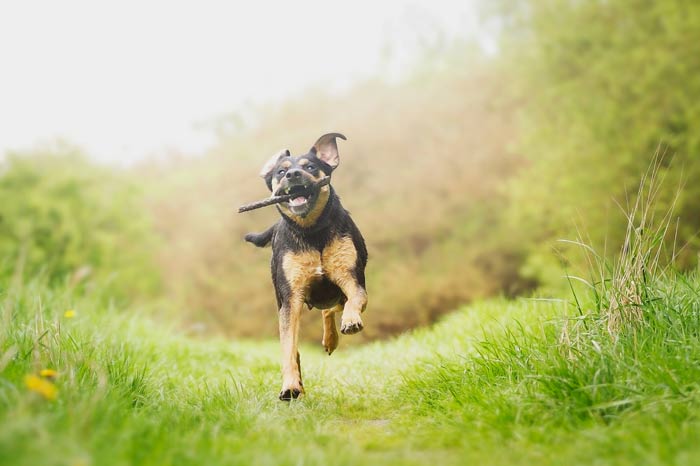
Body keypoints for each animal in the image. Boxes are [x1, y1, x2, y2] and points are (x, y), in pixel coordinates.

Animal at [245, 132, 370, 400]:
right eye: (281, 172)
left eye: (310, 167)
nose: (293, 174)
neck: (311, 231)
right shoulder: (290, 299)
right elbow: (289, 348)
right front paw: (290, 385)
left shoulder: (351, 277)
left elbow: (355, 298)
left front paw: (350, 321)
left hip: (335, 291)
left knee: (331, 309)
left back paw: (332, 338)